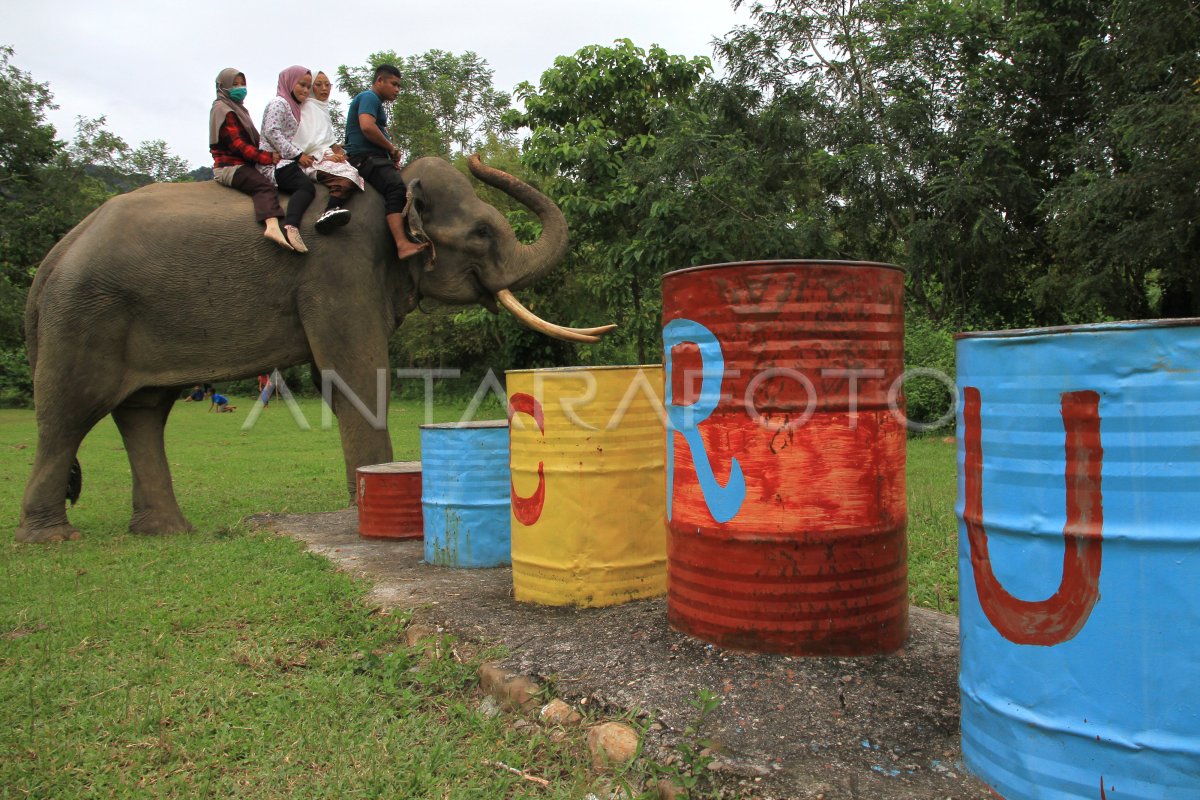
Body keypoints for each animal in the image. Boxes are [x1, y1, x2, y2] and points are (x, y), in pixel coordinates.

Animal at [16, 155, 619, 544]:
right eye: (481, 234)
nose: (476, 161)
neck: (390, 189)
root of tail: (53, 257)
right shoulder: (336, 269)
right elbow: (358, 376)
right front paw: (363, 501)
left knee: (143, 412)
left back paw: (168, 533)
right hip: (85, 318)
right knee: (69, 412)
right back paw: (52, 539)